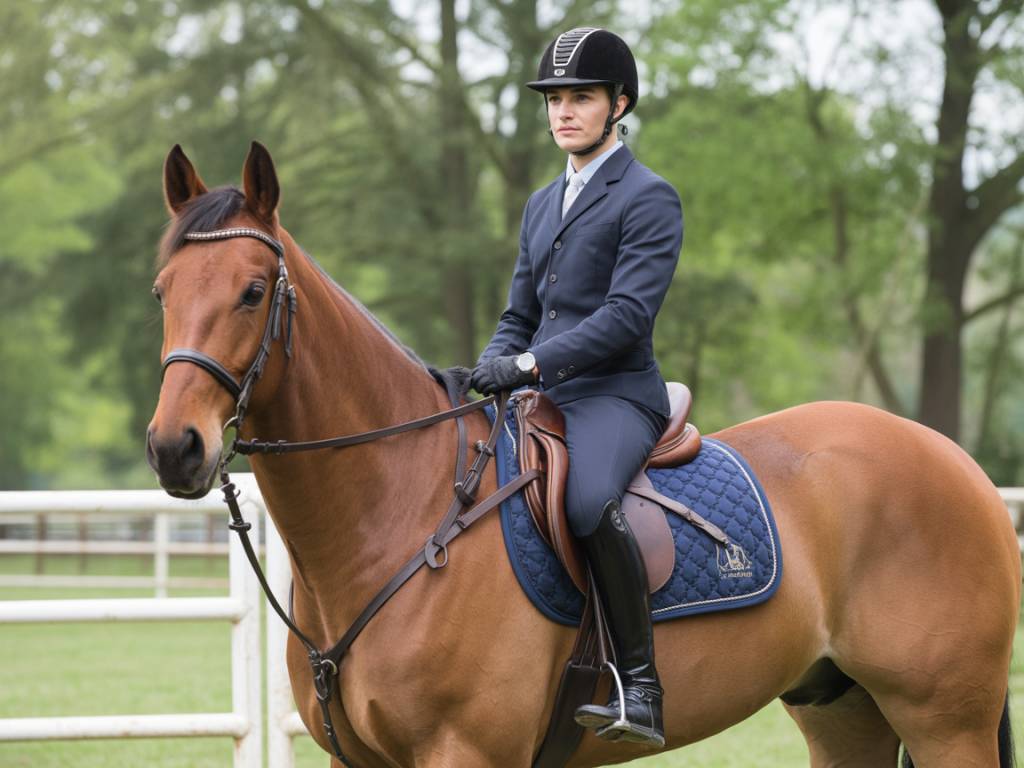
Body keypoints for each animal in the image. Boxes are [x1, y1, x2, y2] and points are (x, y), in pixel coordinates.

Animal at [146, 141, 1020, 767]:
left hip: (947, 720)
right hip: (845, 711)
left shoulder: (465, 753)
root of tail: (955, 460)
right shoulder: (356, 761)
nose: (173, 448)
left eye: (253, 291)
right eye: (162, 291)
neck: (401, 513)